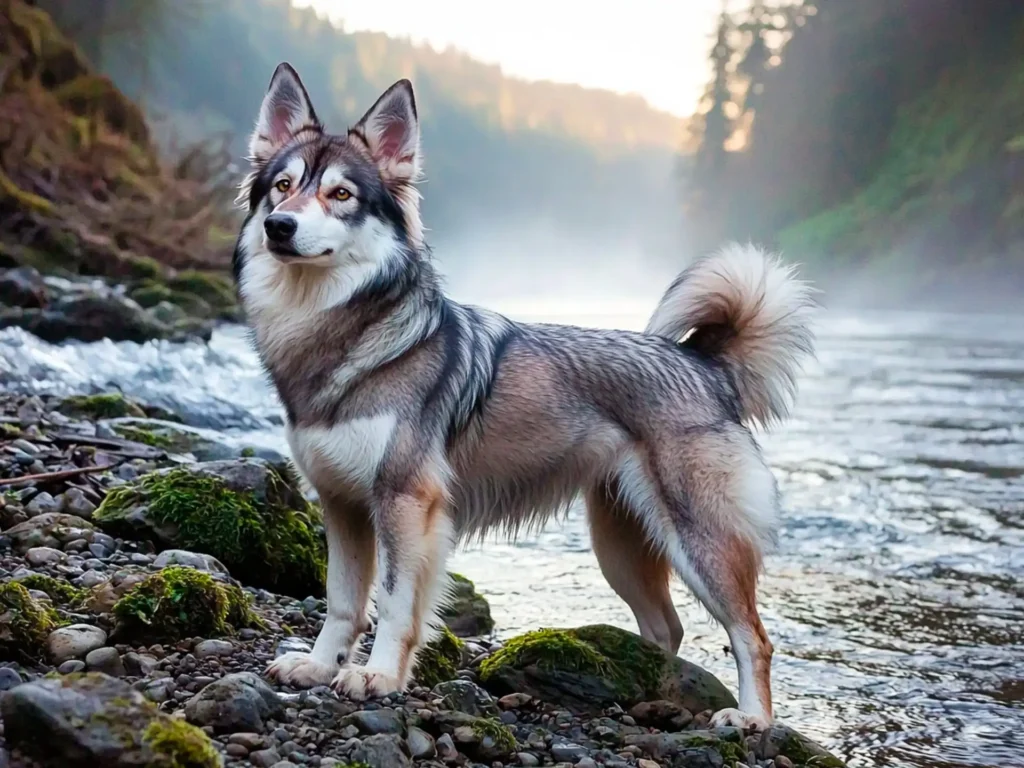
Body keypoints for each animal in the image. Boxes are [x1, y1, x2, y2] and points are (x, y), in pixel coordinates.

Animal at [234, 63, 815, 729]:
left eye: (340, 195)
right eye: (282, 187)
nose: (280, 226)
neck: (341, 333)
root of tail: (705, 364)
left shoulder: (406, 503)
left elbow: (395, 601)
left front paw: (378, 676)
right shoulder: (342, 505)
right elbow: (341, 601)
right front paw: (316, 666)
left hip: (700, 544)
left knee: (753, 637)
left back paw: (753, 721)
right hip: (620, 548)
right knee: (666, 628)